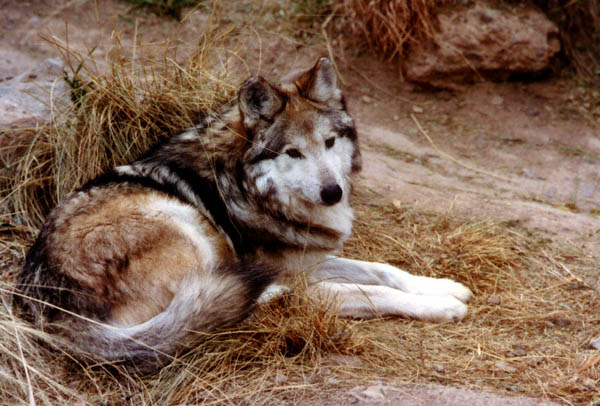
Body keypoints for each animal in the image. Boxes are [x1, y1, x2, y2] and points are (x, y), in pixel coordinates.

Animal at [14, 58, 472, 372]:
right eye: (293, 153)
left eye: (329, 143)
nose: (333, 192)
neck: (247, 185)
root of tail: (49, 314)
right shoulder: (297, 273)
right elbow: (371, 292)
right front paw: (441, 306)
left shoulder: (308, 259)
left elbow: (382, 269)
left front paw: (444, 286)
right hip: (183, 228)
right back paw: (265, 296)